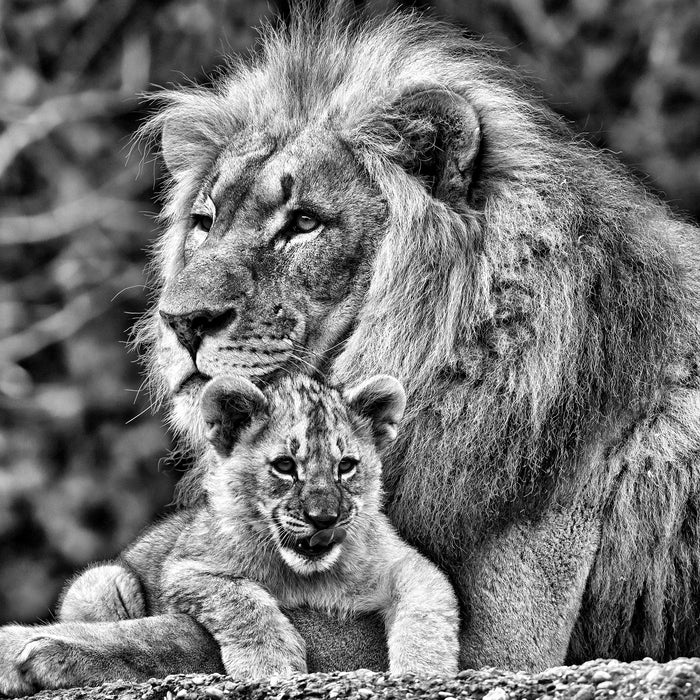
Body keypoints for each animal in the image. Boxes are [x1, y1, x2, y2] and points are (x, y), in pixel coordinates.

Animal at [1, 2, 700, 688]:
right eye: (204, 222)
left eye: (304, 223)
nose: (182, 321)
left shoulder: (508, 640)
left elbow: (202, 628)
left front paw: (39, 644)